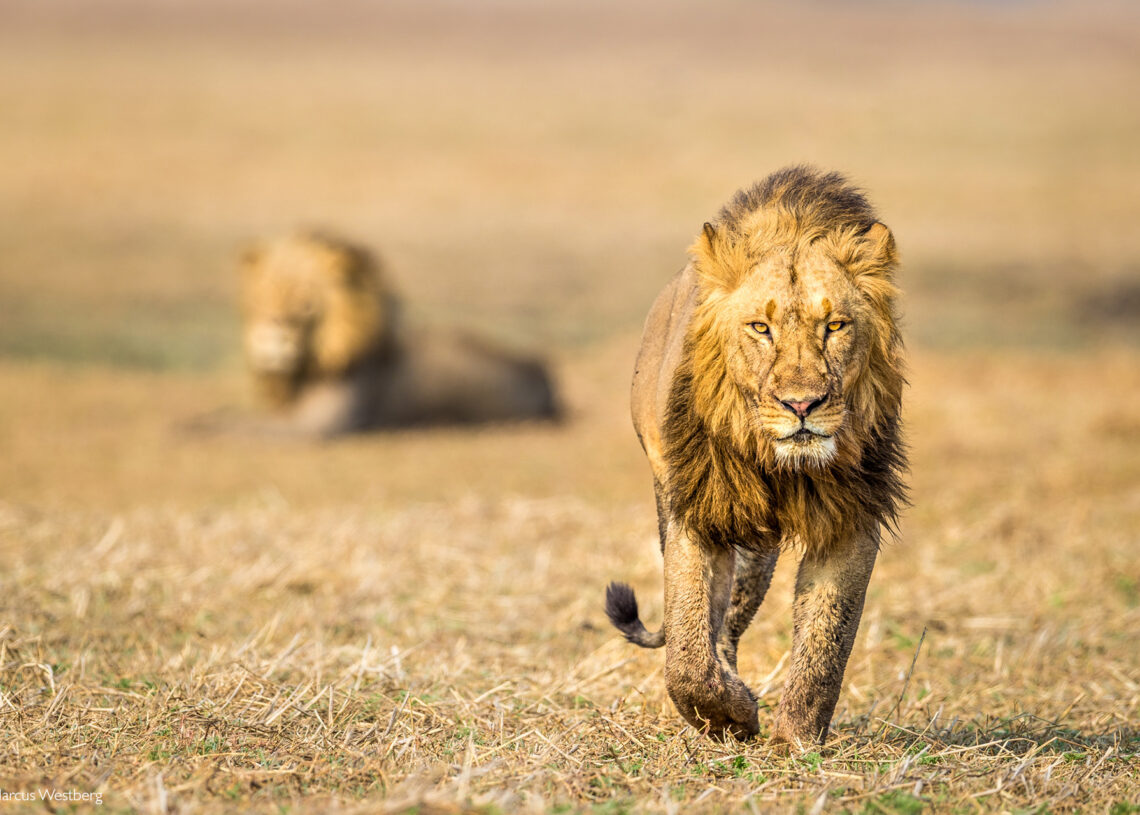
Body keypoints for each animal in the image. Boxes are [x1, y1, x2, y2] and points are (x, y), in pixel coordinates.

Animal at [225, 231, 559, 436]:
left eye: (306, 303)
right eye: (261, 298)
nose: (271, 336)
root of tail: (540, 370)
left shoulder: (317, 426)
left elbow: (230, 425)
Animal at [605, 166, 906, 746]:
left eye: (835, 326)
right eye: (760, 328)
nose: (803, 404)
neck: (783, 465)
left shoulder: (852, 516)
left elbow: (826, 641)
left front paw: (796, 741)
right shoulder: (698, 508)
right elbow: (687, 647)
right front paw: (729, 717)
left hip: (756, 550)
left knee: (730, 625)